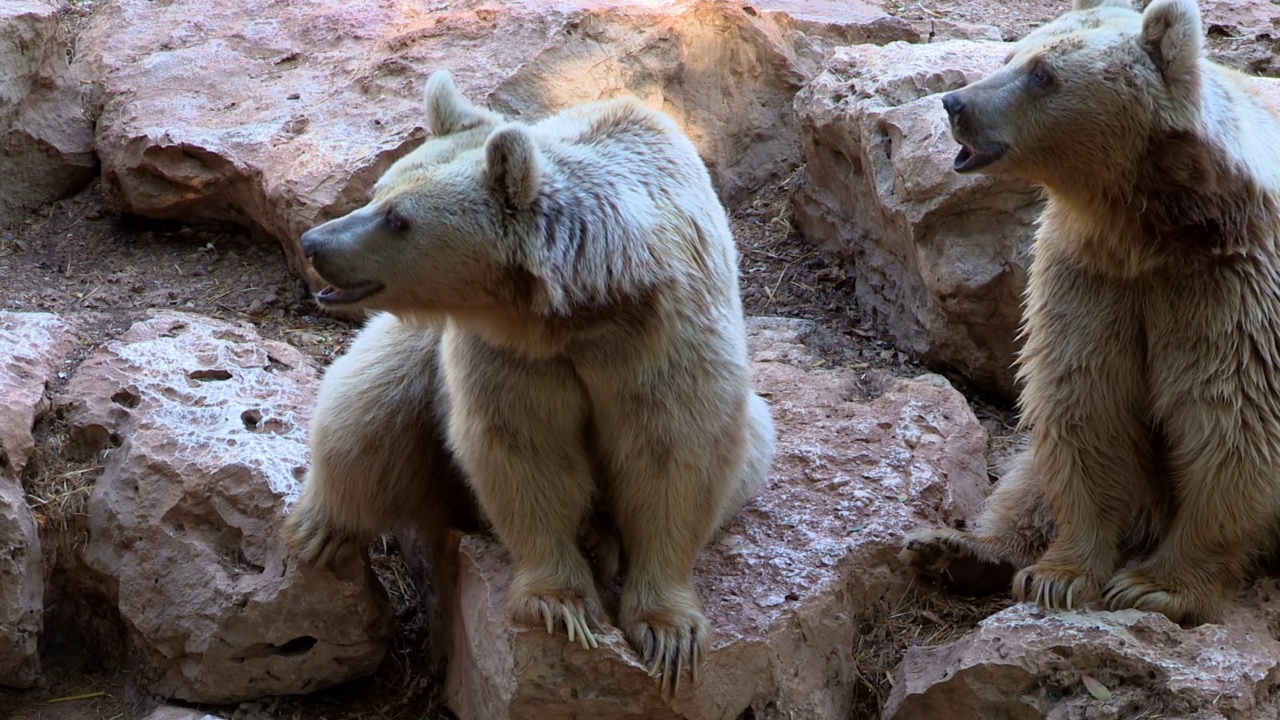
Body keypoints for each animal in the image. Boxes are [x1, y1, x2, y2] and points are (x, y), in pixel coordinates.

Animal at [284, 68, 773, 691]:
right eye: (378, 191)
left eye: (398, 219)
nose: (315, 243)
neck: (583, 312)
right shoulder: (510, 356)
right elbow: (525, 451)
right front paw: (564, 605)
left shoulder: (667, 342)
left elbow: (674, 453)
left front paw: (668, 633)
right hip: (416, 354)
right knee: (365, 412)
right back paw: (323, 527)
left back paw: (601, 538)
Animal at [901, 0, 1280, 622]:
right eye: (1011, 54)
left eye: (1042, 75)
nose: (956, 103)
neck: (1148, 231)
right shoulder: (1088, 277)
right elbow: (1084, 399)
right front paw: (1057, 575)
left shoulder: (1233, 283)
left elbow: (1232, 412)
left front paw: (1155, 586)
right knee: (1026, 474)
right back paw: (955, 550)